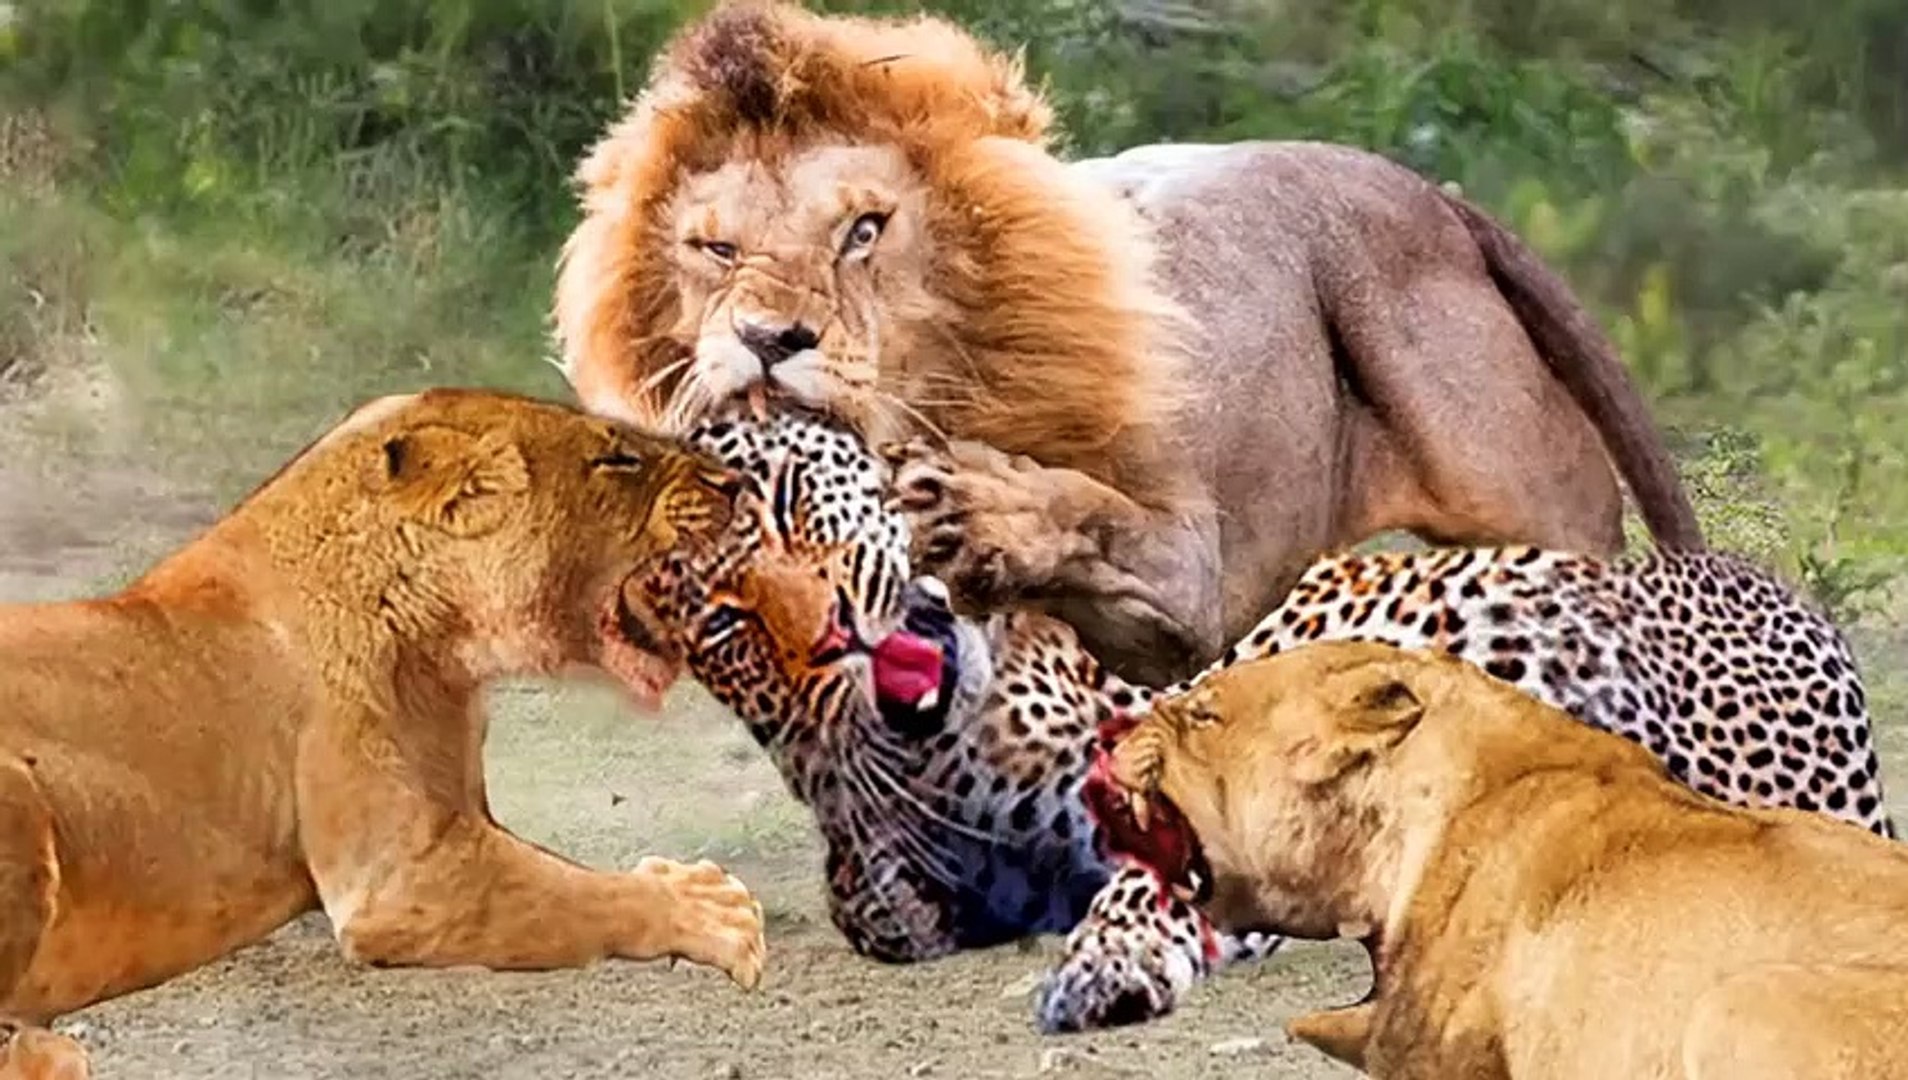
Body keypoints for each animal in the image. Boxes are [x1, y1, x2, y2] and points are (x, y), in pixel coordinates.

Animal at [0, 388, 765, 1078]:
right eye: (618, 458)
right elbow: (580, 894)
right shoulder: (395, 879)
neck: (446, 646)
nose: (737, 481)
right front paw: (713, 909)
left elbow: (561, 872)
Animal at [552, 0, 1705, 685]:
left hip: (1533, 508)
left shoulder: (1188, 582)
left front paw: (979, 508)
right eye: (715, 249)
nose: (766, 337)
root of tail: (1435, 196)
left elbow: (1085, 512)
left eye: (864, 232)